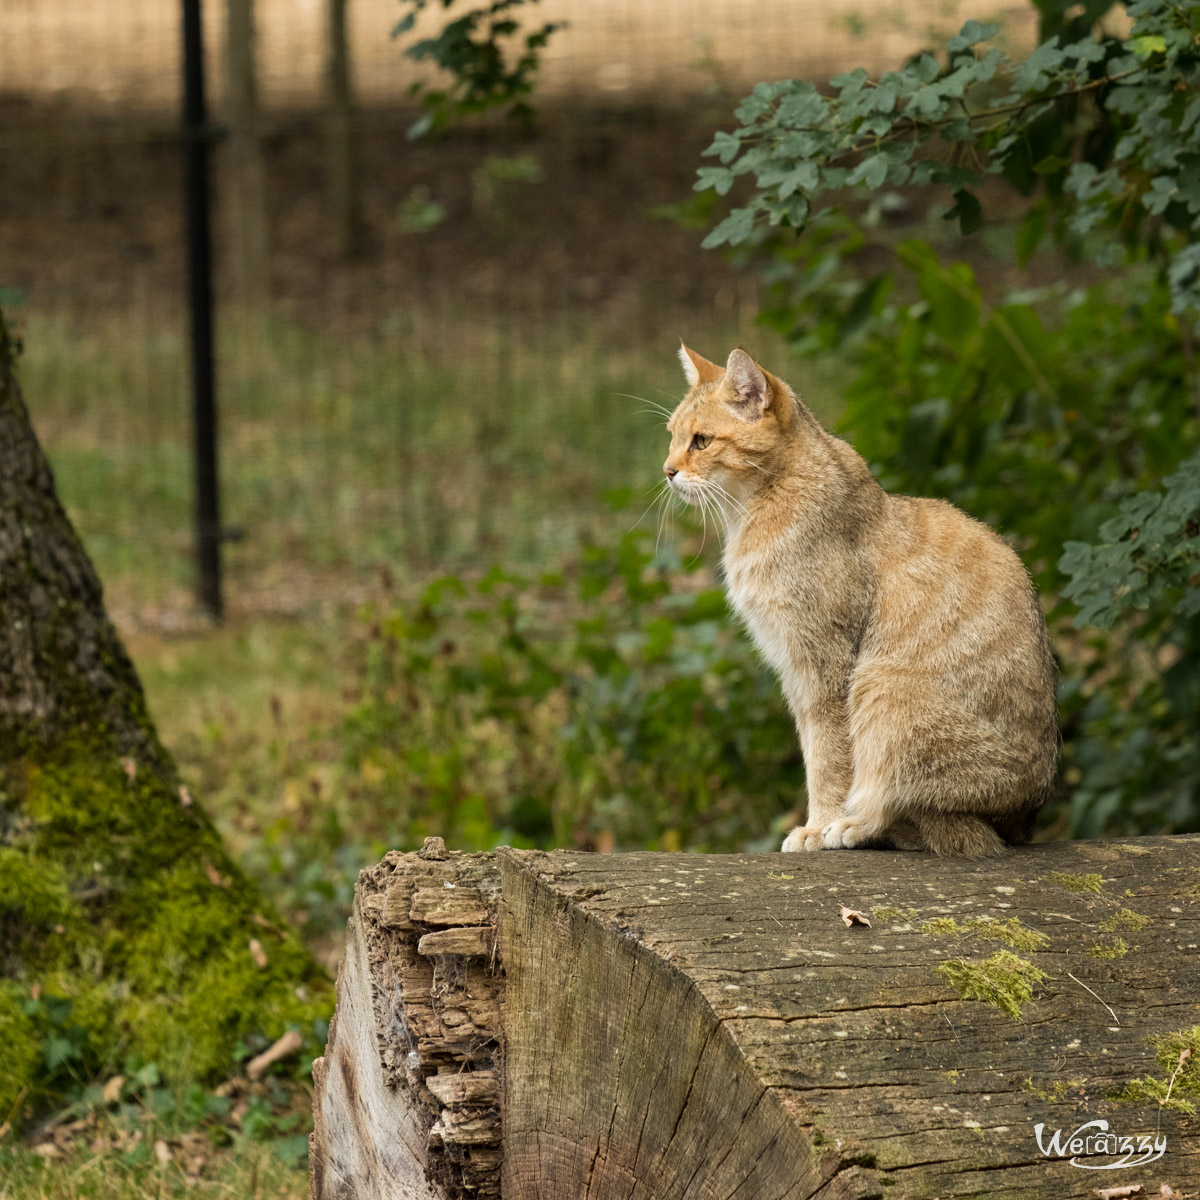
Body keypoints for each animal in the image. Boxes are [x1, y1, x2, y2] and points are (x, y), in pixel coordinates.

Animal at [667, 343, 1060, 859]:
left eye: (701, 441)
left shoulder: (826, 667)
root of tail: (1021, 826)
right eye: (672, 438)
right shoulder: (796, 672)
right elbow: (817, 750)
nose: (667, 471)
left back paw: (857, 825)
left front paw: (820, 826)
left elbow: (830, 759)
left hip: (880, 685)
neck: (764, 502)